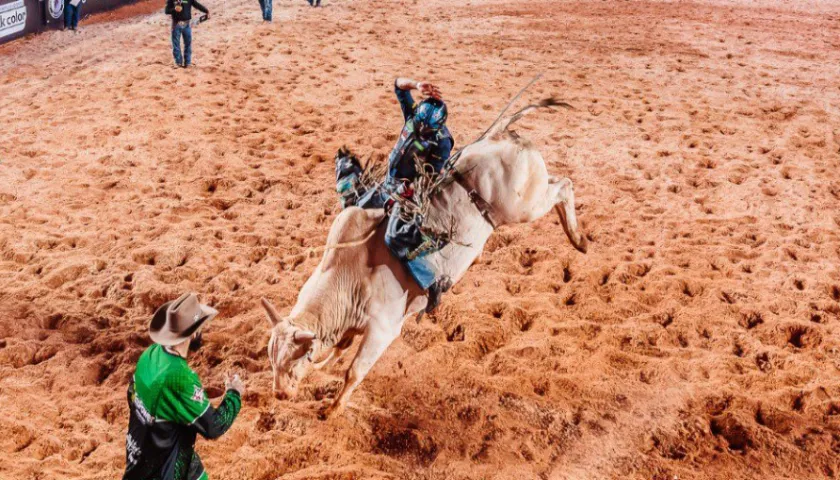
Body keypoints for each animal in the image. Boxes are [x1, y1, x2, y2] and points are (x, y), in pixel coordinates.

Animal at [260, 107, 584, 418]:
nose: (280, 394)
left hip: (524, 205)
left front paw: (332, 409)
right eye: (272, 360)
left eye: (294, 360)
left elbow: (354, 371)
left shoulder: (382, 329)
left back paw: (578, 238)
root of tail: (499, 137)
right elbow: (340, 348)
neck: (348, 278)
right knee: (557, 184)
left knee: (565, 185)